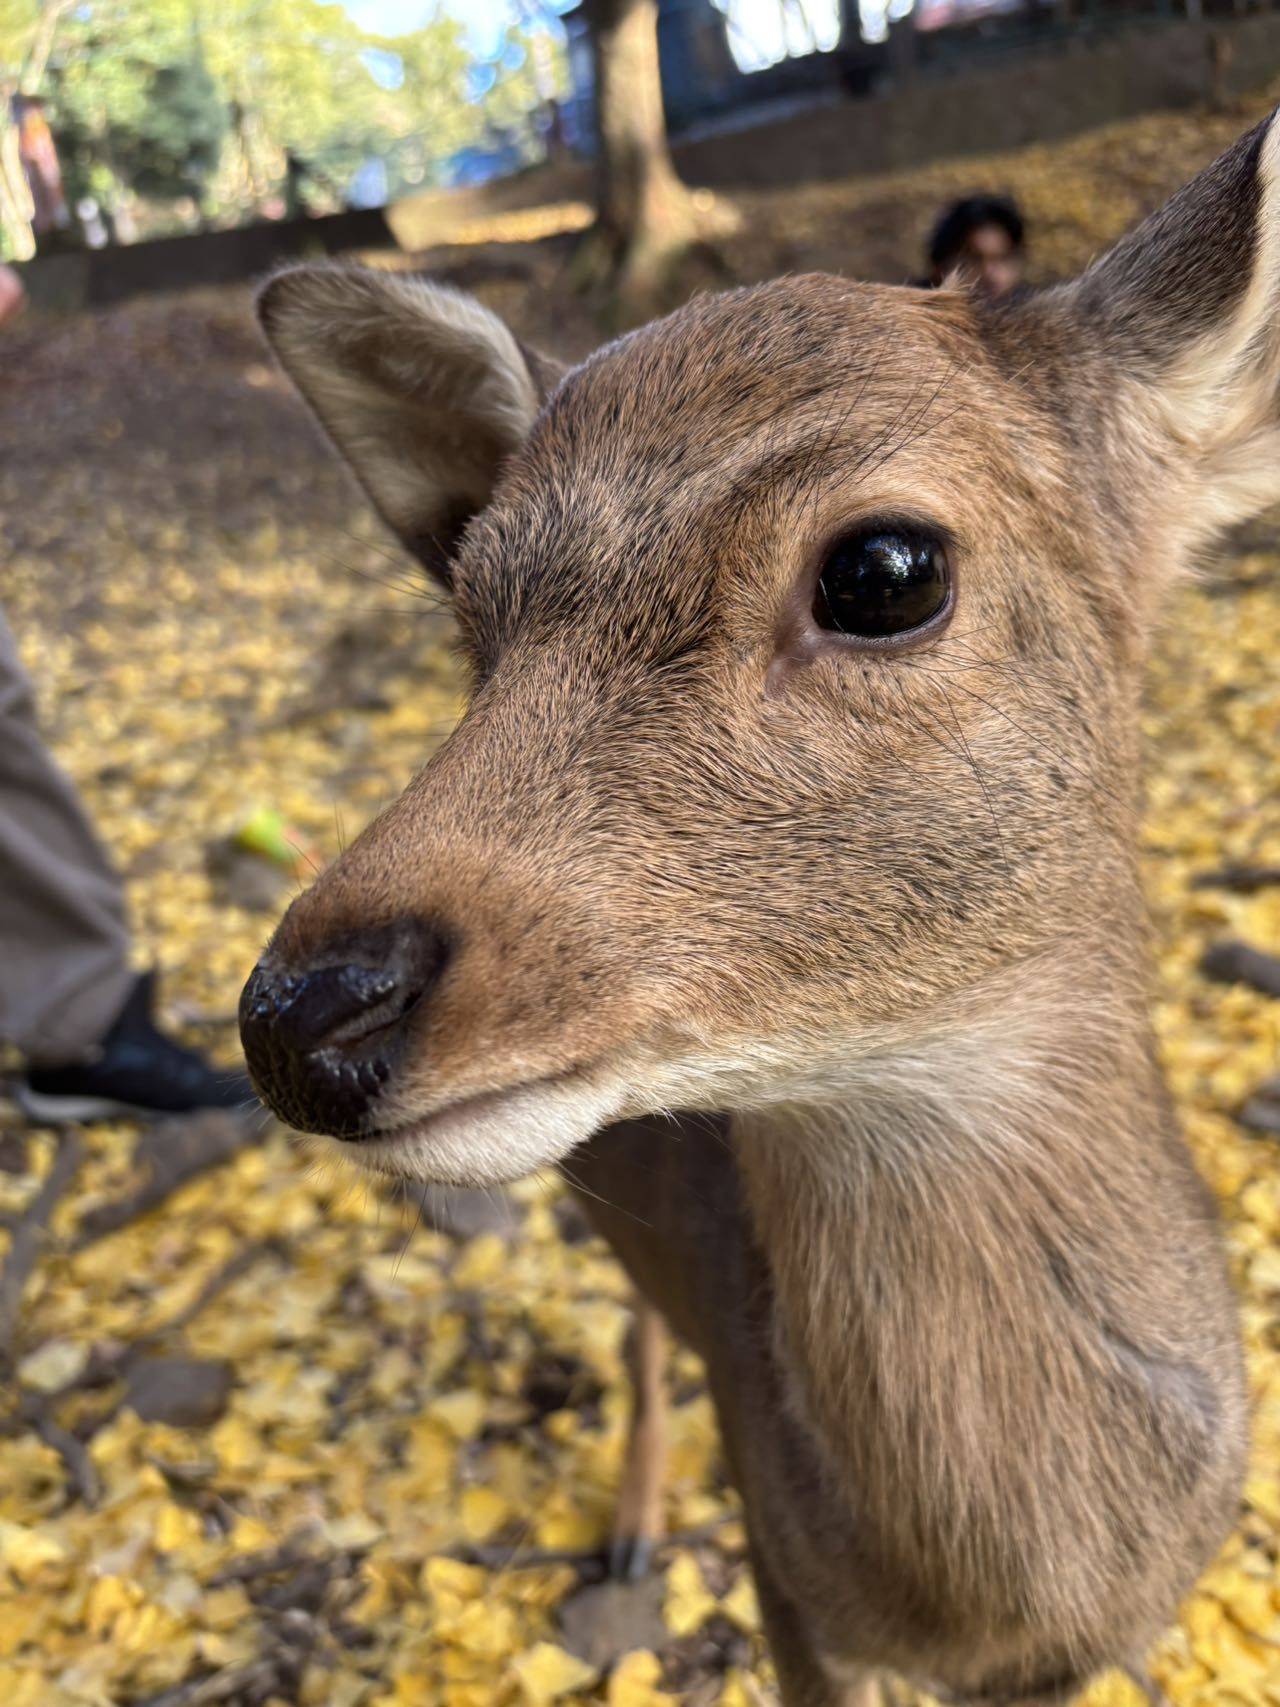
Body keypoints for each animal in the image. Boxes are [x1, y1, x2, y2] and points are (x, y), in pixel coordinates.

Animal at [235, 116, 1276, 1707]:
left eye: (884, 569)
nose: (304, 1013)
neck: (1013, 1599)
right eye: (475, 623)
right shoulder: (792, 1595)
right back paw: (629, 1528)